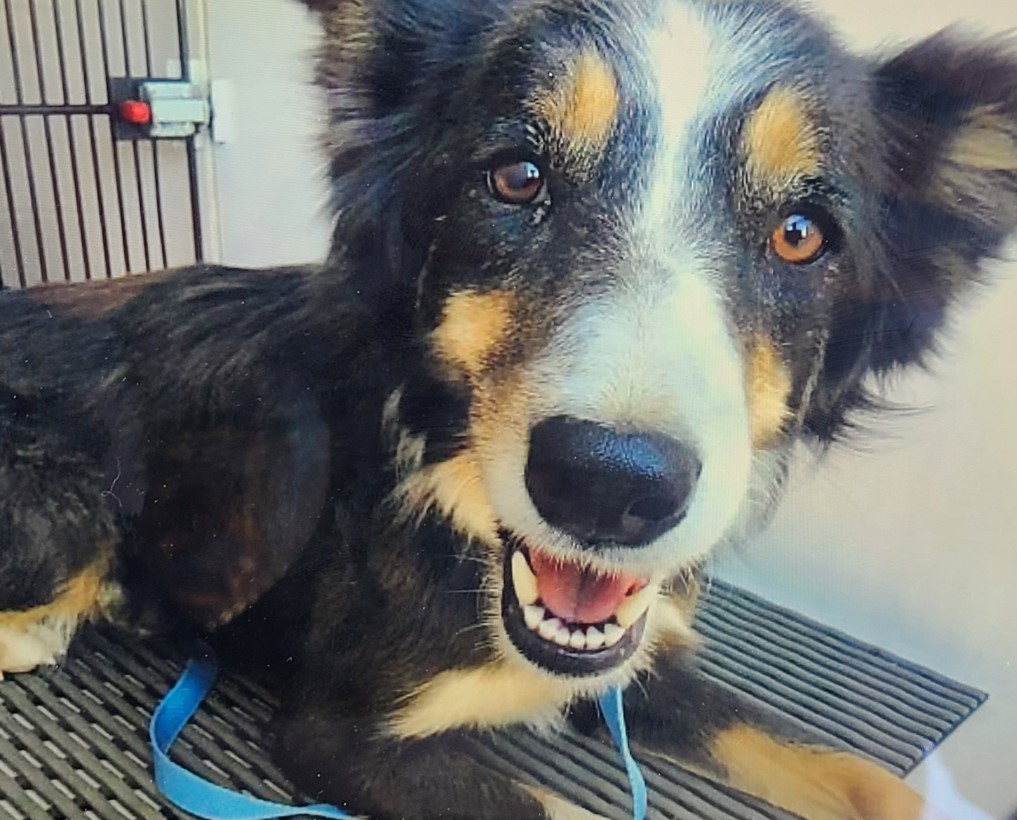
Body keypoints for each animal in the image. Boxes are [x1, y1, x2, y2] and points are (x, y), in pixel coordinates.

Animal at [1, 0, 1016, 817]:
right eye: (517, 178)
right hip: (70, 507)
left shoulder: (639, 664)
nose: (610, 487)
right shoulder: (337, 733)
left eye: (801, 234)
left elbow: (862, 776)